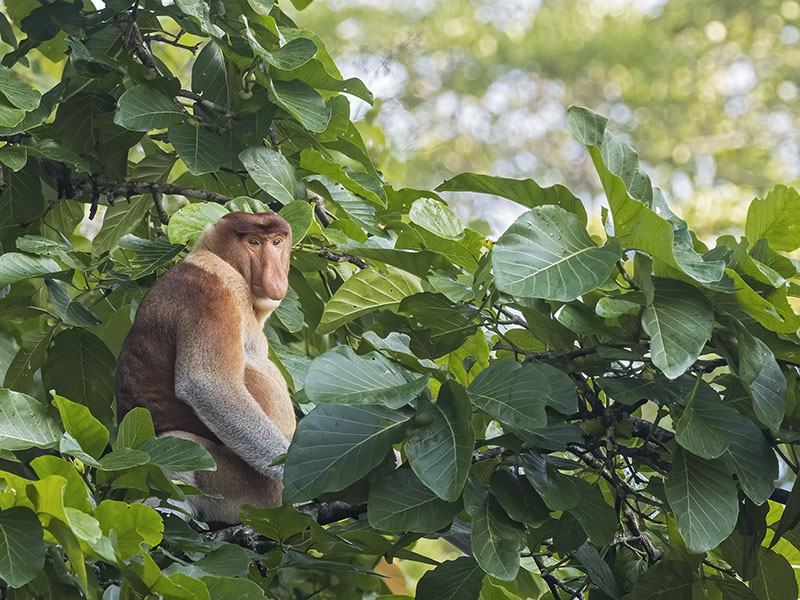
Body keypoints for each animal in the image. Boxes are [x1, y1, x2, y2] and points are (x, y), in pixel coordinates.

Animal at [115, 212, 295, 524]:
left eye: (276, 242)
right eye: (254, 242)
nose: (275, 275)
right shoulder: (211, 291)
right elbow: (207, 384)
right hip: (245, 491)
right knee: (178, 441)